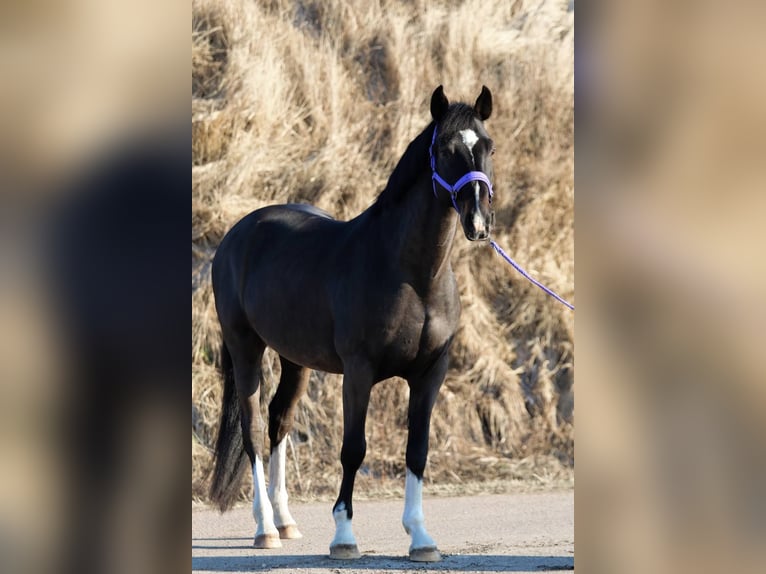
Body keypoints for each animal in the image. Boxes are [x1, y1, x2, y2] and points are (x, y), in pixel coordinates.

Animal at [210, 85, 498, 564]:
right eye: (444, 148)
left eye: (488, 147)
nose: (478, 222)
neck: (412, 276)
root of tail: (237, 233)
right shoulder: (359, 373)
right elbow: (354, 450)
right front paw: (344, 536)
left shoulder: (430, 374)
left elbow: (417, 451)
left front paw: (421, 537)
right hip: (245, 349)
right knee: (252, 431)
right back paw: (265, 527)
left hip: (295, 360)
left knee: (278, 421)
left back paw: (285, 521)